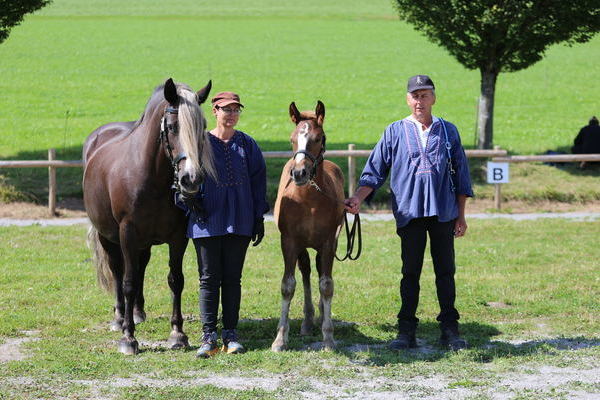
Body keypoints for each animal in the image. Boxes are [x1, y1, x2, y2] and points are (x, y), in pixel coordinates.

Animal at [82, 78, 216, 354]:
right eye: (173, 127)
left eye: (203, 127)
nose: (191, 179)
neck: (151, 176)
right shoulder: (127, 233)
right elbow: (128, 282)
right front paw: (128, 337)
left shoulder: (178, 237)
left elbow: (176, 280)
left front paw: (177, 334)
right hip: (108, 237)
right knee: (118, 270)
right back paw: (120, 317)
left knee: (141, 265)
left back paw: (137, 312)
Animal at [270, 101, 344, 350]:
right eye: (293, 138)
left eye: (319, 138)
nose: (299, 172)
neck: (309, 200)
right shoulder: (289, 242)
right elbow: (288, 285)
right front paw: (280, 339)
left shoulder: (329, 242)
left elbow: (327, 285)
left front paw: (328, 337)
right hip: (302, 247)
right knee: (305, 272)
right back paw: (307, 321)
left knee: (320, 271)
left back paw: (320, 316)